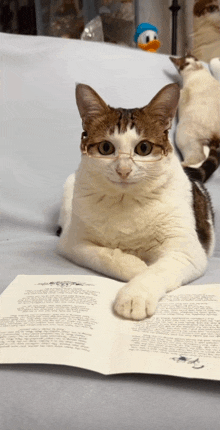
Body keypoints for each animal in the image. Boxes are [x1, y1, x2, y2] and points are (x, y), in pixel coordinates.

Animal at [55, 83, 219, 320]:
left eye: (143, 148)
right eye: (106, 148)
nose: (123, 170)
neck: (127, 200)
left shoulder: (186, 251)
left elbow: (158, 270)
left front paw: (135, 296)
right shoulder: (71, 242)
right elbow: (100, 254)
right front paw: (135, 266)